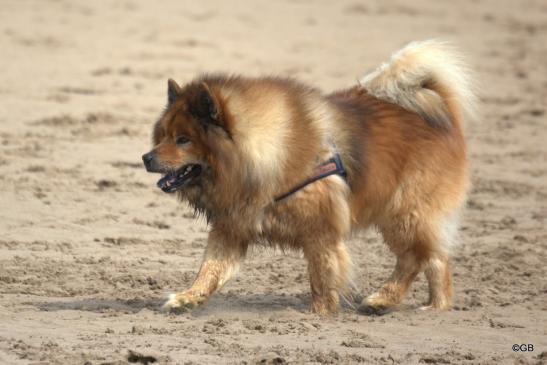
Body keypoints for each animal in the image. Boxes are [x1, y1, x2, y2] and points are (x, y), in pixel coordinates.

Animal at [142, 39, 476, 312]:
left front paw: (320, 314)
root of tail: (440, 109)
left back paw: (384, 299)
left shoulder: (321, 230)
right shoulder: (233, 226)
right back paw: (436, 306)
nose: (146, 158)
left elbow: (322, 276)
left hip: (404, 214)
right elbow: (209, 270)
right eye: (162, 136)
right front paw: (187, 298)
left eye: (183, 140)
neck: (266, 153)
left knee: (414, 258)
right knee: (437, 258)